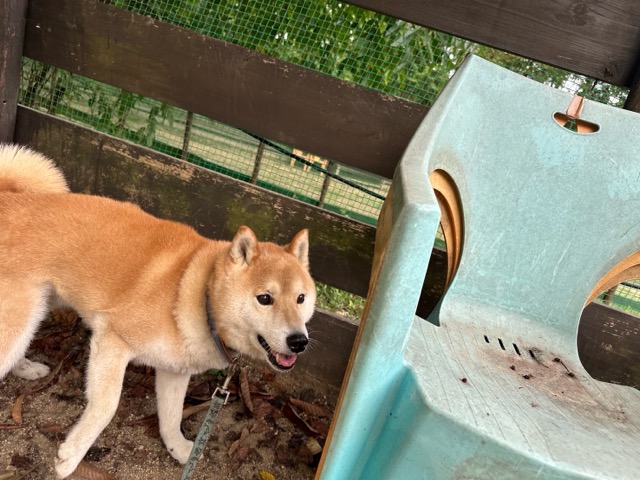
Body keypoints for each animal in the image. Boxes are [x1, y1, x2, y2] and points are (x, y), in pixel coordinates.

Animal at [0, 144, 316, 478]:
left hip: (34, 312)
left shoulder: (174, 370)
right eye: (265, 298)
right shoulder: (111, 339)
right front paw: (71, 455)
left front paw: (180, 449)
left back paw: (26, 368)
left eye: (301, 298)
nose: (299, 341)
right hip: (19, 320)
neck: (195, 295)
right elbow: (106, 407)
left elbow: (171, 417)